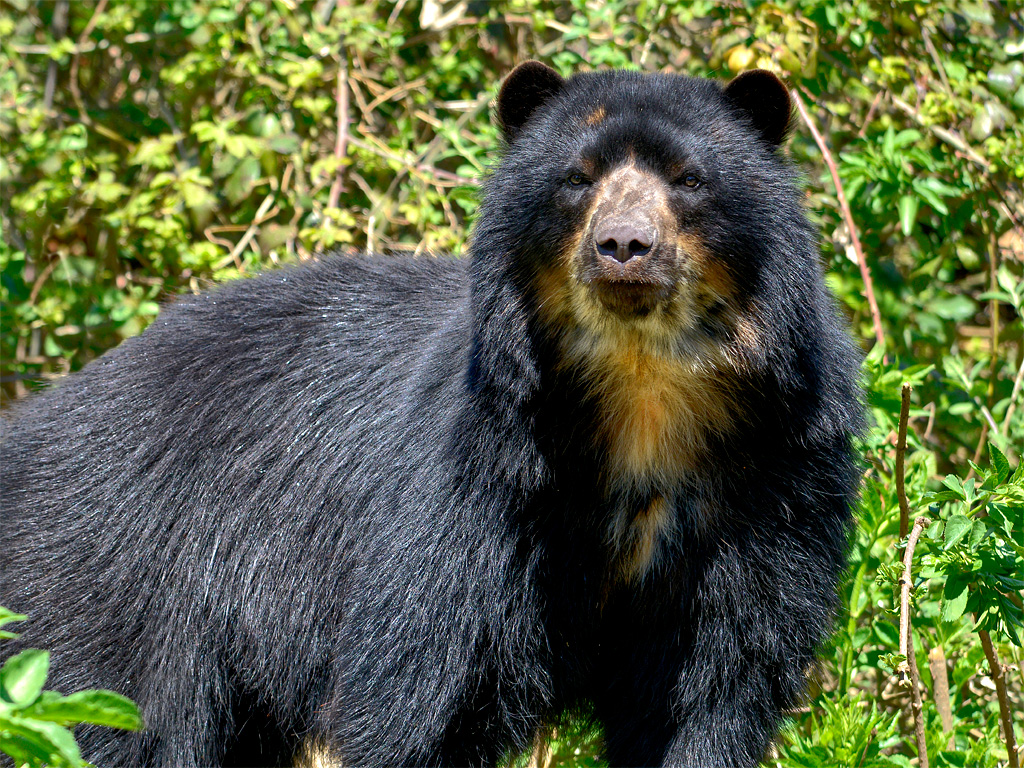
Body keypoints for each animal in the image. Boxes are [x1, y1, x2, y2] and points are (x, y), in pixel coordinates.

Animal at [0, 61, 862, 768]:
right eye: (576, 178)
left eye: (688, 179)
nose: (623, 246)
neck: (642, 391)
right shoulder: (476, 485)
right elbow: (423, 691)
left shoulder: (773, 490)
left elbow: (709, 695)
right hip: (108, 590)